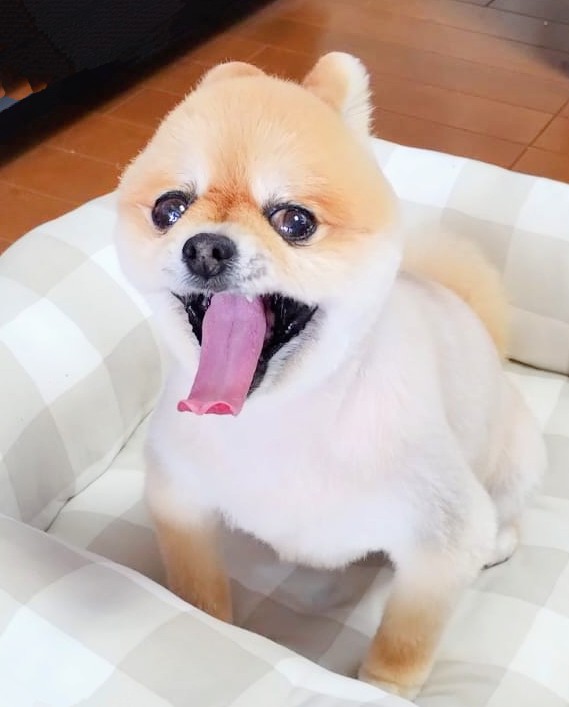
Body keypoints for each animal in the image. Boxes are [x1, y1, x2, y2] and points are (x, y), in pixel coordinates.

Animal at [115, 53, 546, 697]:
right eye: (169, 209)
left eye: (295, 220)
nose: (206, 248)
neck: (283, 416)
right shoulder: (178, 500)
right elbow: (198, 588)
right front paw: (208, 623)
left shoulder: (441, 536)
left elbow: (406, 637)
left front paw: (384, 688)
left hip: (517, 457)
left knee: (506, 509)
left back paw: (501, 540)